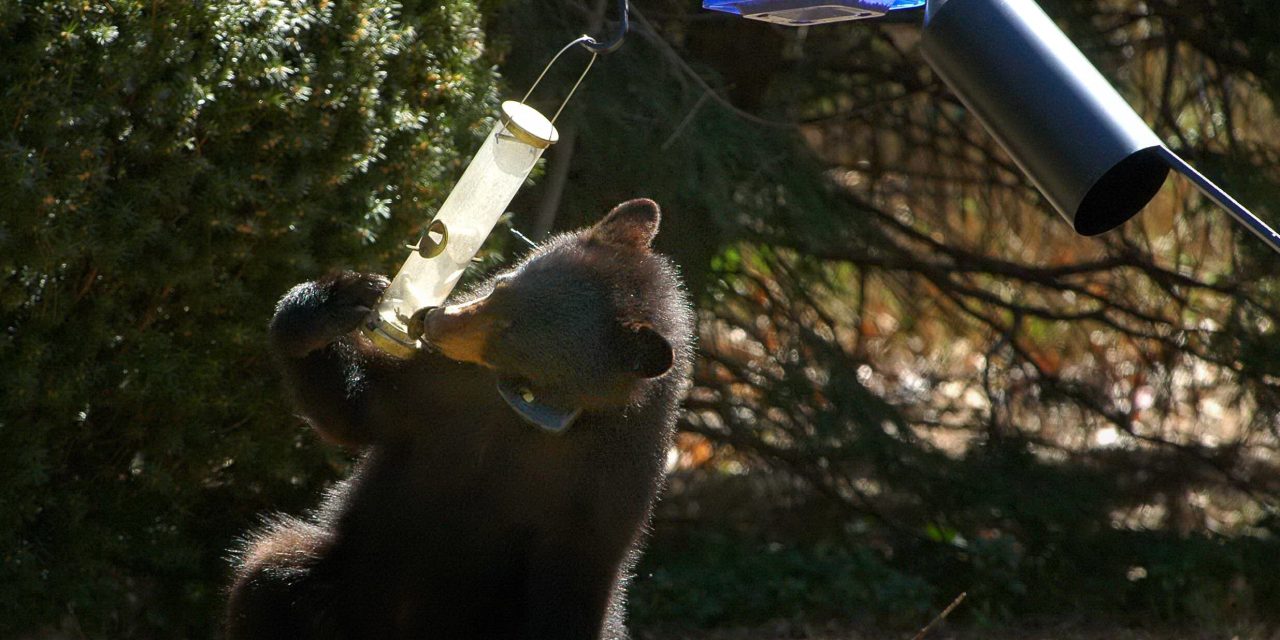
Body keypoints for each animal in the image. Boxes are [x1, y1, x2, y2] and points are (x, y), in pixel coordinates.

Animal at [225, 199, 694, 640]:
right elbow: (358, 410)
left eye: (512, 333)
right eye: (503, 285)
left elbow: (575, 580)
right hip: (347, 577)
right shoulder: (449, 387)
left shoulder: (608, 487)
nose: (432, 319)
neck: (529, 407)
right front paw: (330, 304)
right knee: (269, 575)